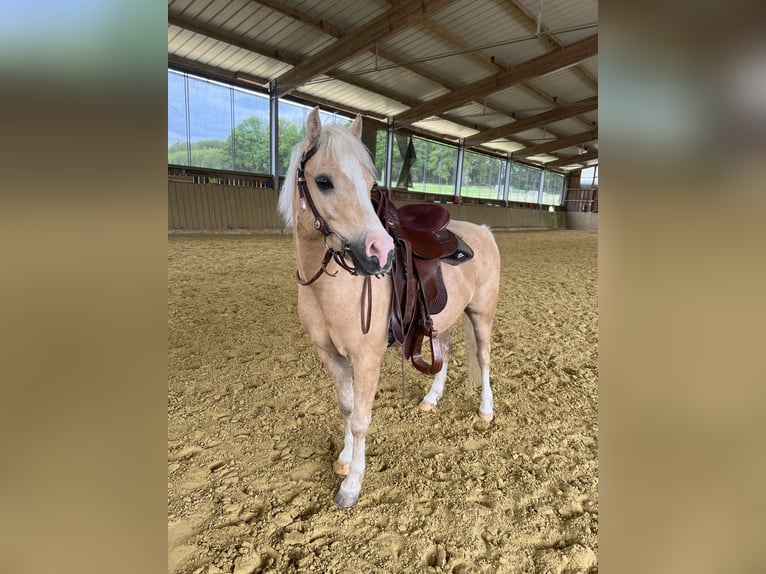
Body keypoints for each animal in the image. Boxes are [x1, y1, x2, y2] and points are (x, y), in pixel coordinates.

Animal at [278, 107, 500, 507]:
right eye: (323, 181)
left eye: (369, 183)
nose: (381, 252)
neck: (331, 288)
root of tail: (484, 230)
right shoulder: (330, 356)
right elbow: (347, 408)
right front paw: (344, 460)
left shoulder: (367, 359)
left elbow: (361, 418)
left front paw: (352, 485)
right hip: (442, 319)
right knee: (446, 352)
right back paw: (431, 399)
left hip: (481, 315)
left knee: (485, 358)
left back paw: (486, 410)